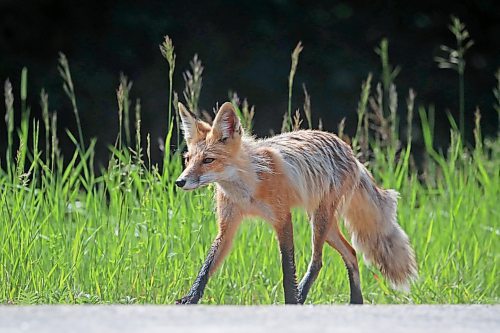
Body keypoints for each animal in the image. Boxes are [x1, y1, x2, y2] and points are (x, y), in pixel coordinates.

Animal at [174, 100, 416, 304]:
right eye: (188, 159)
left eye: (208, 160)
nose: (180, 181)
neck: (247, 190)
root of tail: (350, 152)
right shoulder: (227, 226)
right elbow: (207, 266)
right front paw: (190, 299)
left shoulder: (282, 218)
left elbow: (287, 269)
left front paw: (291, 300)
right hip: (324, 225)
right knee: (351, 253)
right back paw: (356, 302)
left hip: (319, 221)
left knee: (318, 262)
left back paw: (302, 297)